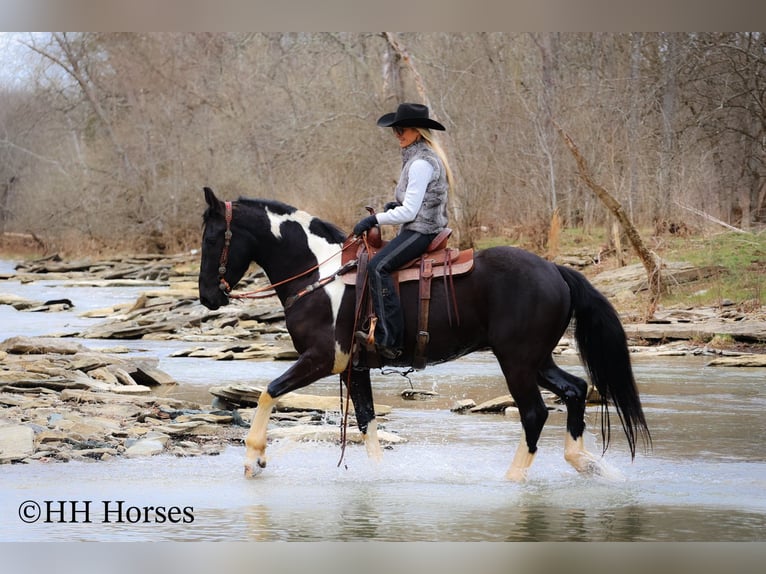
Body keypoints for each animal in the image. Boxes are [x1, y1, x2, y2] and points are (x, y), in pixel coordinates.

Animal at [200, 188, 656, 482]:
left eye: (212, 237)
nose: (208, 296)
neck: (320, 274)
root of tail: (556, 270)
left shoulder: (323, 358)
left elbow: (269, 392)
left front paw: (254, 459)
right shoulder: (353, 368)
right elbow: (366, 423)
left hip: (516, 361)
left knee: (534, 413)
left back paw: (512, 482)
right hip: (536, 359)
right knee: (576, 389)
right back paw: (583, 462)